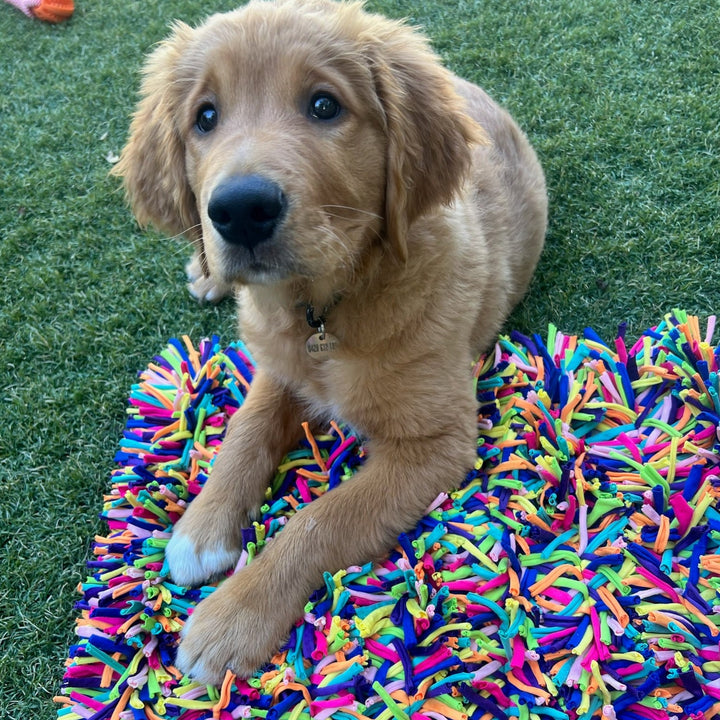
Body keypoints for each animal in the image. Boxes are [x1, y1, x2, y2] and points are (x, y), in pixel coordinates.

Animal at [115, 0, 548, 684]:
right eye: (205, 117)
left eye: (324, 106)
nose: (239, 210)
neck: (322, 308)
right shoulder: (277, 365)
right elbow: (244, 431)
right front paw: (201, 529)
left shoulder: (435, 443)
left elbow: (321, 518)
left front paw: (232, 617)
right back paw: (205, 273)